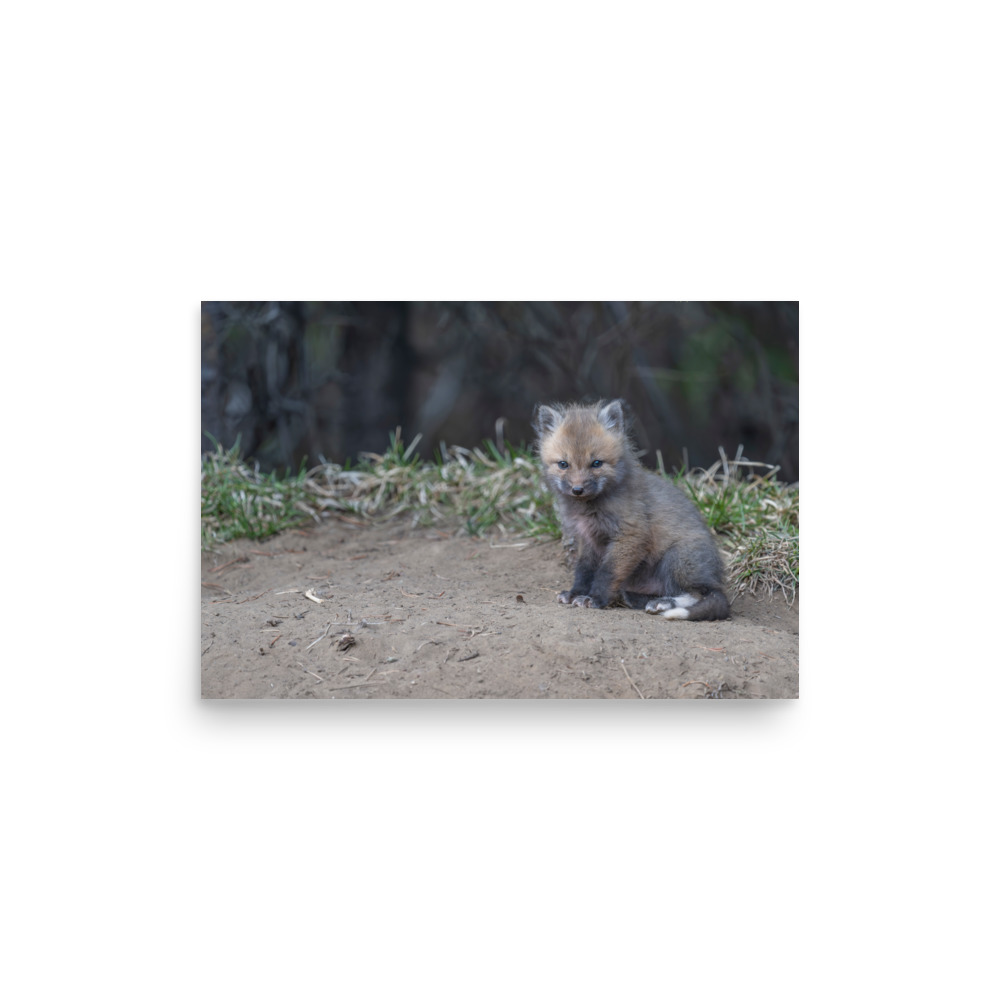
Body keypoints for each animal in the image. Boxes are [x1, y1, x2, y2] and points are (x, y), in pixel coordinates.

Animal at [532, 399, 730, 621]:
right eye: (563, 464)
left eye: (596, 463)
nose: (577, 489)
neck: (590, 509)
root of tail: (716, 578)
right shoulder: (587, 539)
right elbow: (583, 570)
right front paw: (576, 593)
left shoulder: (630, 534)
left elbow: (607, 572)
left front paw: (595, 599)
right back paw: (635, 598)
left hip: (677, 559)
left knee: (699, 594)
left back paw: (663, 603)